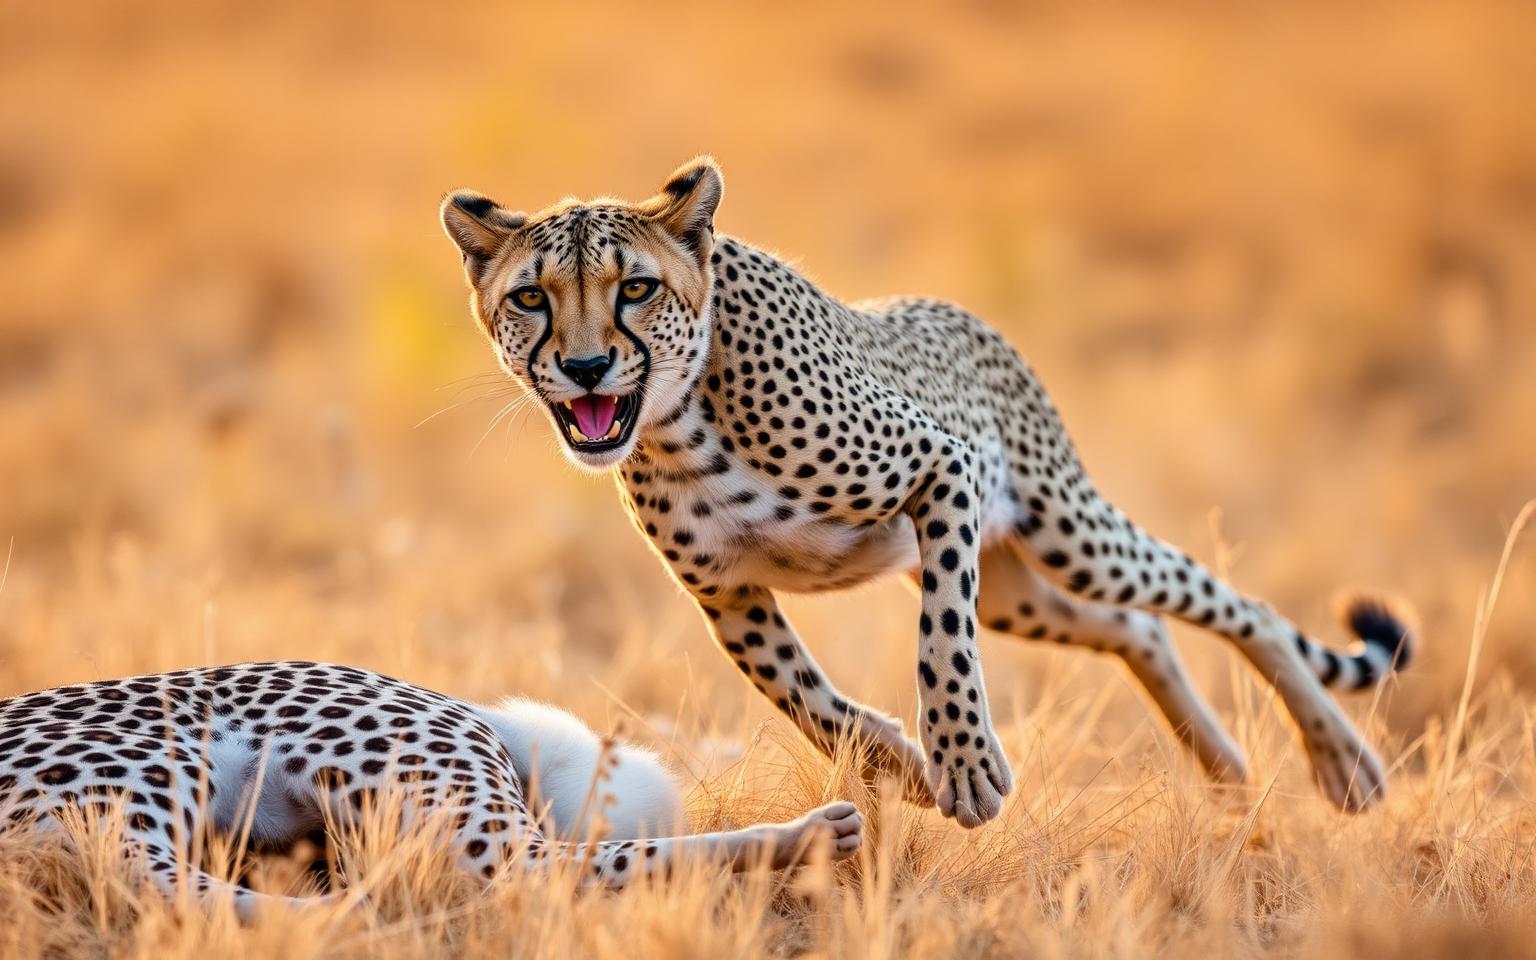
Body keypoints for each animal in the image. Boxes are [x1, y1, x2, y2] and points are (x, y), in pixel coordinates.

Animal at [439, 156, 1414, 828]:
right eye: (531, 298)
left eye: (636, 288)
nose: (585, 367)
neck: (683, 422)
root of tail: (960, 310)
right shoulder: (726, 593)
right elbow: (806, 699)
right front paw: (902, 766)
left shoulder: (941, 469)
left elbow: (941, 642)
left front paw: (962, 763)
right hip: (1024, 592)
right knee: (1139, 629)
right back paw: (1222, 768)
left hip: (1067, 534)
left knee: (1235, 605)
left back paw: (1341, 763)